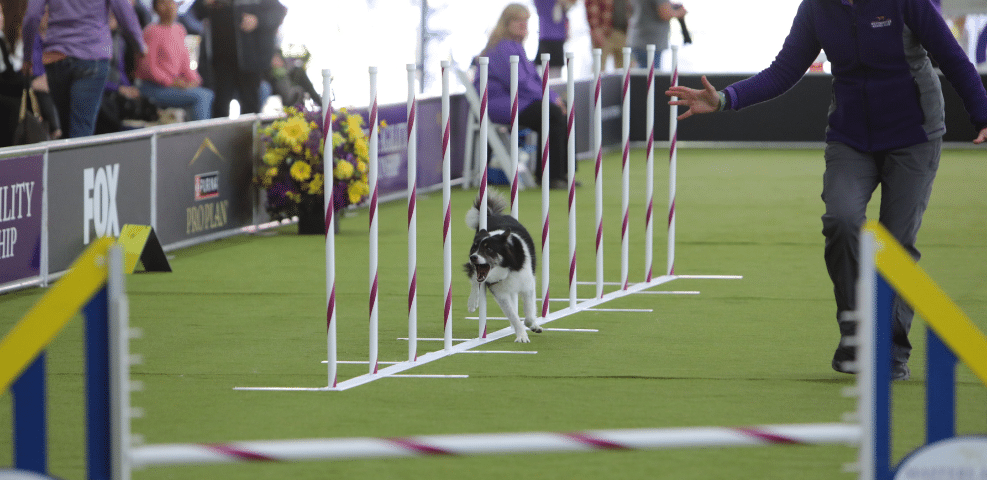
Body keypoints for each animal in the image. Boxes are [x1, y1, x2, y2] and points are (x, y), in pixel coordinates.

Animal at [462, 189, 540, 344]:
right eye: (474, 248)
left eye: (488, 249)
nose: (472, 257)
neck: (507, 268)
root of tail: (491, 215)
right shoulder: (500, 293)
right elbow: (514, 316)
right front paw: (521, 335)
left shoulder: (527, 284)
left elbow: (528, 314)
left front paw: (533, 325)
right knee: (474, 279)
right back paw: (472, 302)